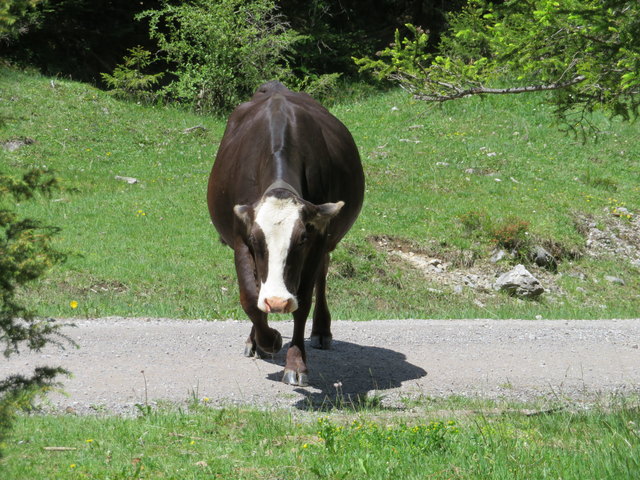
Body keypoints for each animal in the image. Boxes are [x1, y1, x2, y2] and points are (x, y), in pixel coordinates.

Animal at [207, 81, 364, 386]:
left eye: (301, 239)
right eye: (255, 239)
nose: (277, 301)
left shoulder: (318, 239)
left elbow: (302, 302)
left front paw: (296, 362)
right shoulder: (240, 239)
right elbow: (250, 297)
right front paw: (268, 340)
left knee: (322, 276)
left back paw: (322, 331)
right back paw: (255, 340)